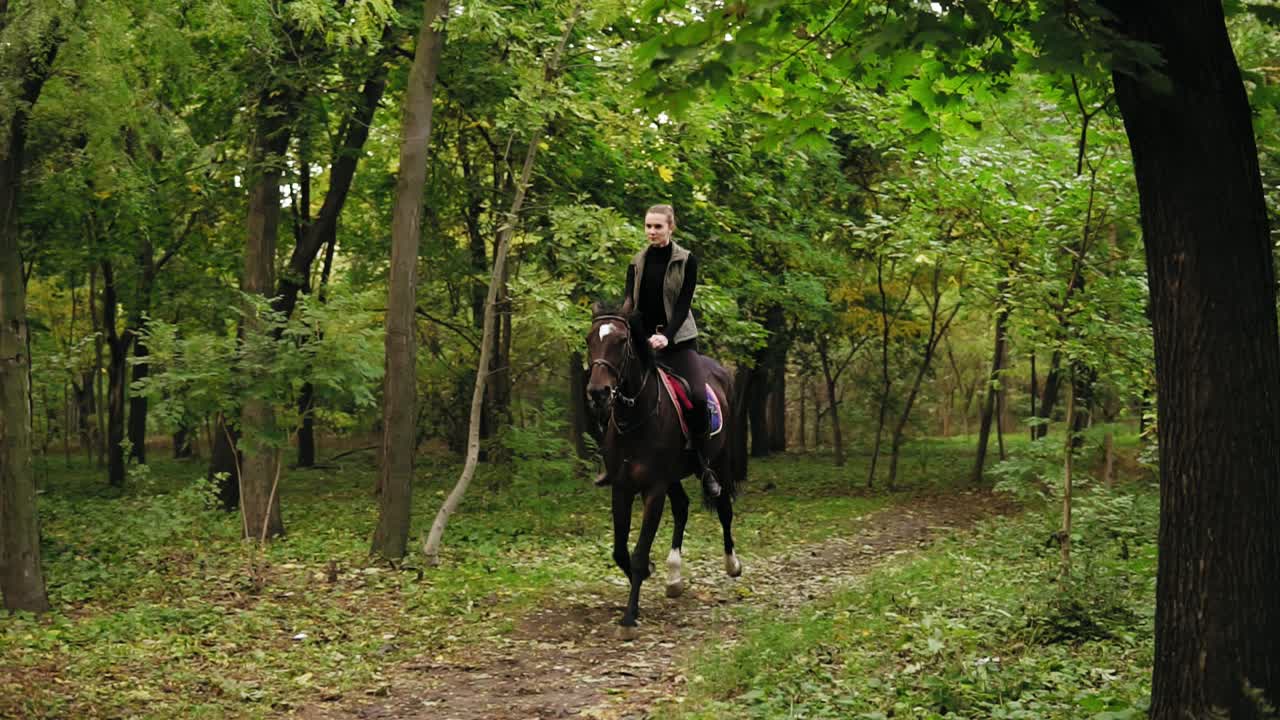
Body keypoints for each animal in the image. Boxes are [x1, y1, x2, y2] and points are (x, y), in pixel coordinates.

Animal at [584, 305, 746, 637]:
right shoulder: (622, 488)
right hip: (673, 476)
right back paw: (674, 578)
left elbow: (638, 551)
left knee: (724, 508)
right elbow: (620, 551)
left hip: (719, 462)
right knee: (682, 507)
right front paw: (648, 575)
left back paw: (731, 564)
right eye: (588, 339)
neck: (636, 417)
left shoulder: (654, 489)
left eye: (621, 341)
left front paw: (629, 617)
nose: (598, 392)